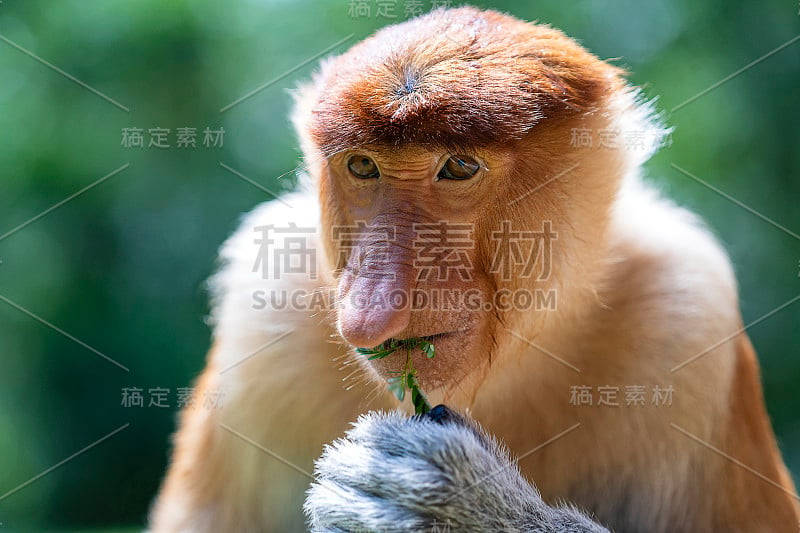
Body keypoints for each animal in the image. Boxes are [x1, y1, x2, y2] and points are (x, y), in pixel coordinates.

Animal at [148, 5, 792, 532]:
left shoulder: (687, 310)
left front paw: (453, 505)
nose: (369, 313)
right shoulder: (261, 314)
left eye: (458, 167)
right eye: (362, 166)